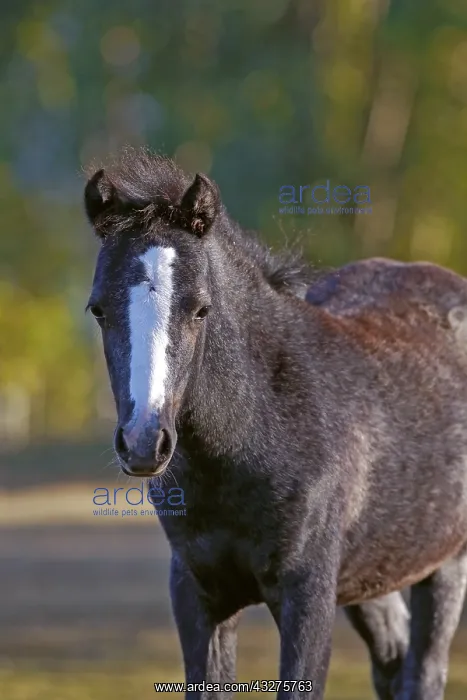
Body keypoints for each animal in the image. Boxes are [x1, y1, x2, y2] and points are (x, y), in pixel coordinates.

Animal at [84, 148, 467, 700]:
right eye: (98, 309)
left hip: (444, 565)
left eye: (201, 309)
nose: (142, 443)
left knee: (424, 671)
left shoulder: (307, 597)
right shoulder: (197, 596)